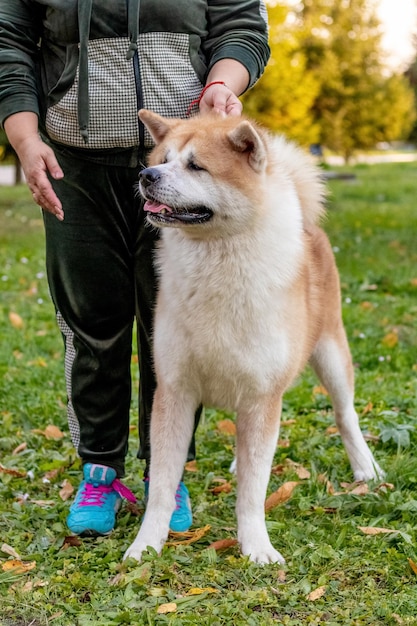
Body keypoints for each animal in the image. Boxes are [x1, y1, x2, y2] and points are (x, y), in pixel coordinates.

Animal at [124, 109, 384, 564]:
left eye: (196, 166)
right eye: (163, 159)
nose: (146, 175)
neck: (218, 264)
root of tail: (309, 227)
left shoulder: (263, 395)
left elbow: (252, 491)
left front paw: (257, 547)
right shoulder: (174, 390)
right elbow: (161, 486)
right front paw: (146, 545)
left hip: (330, 354)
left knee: (345, 415)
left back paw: (365, 468)